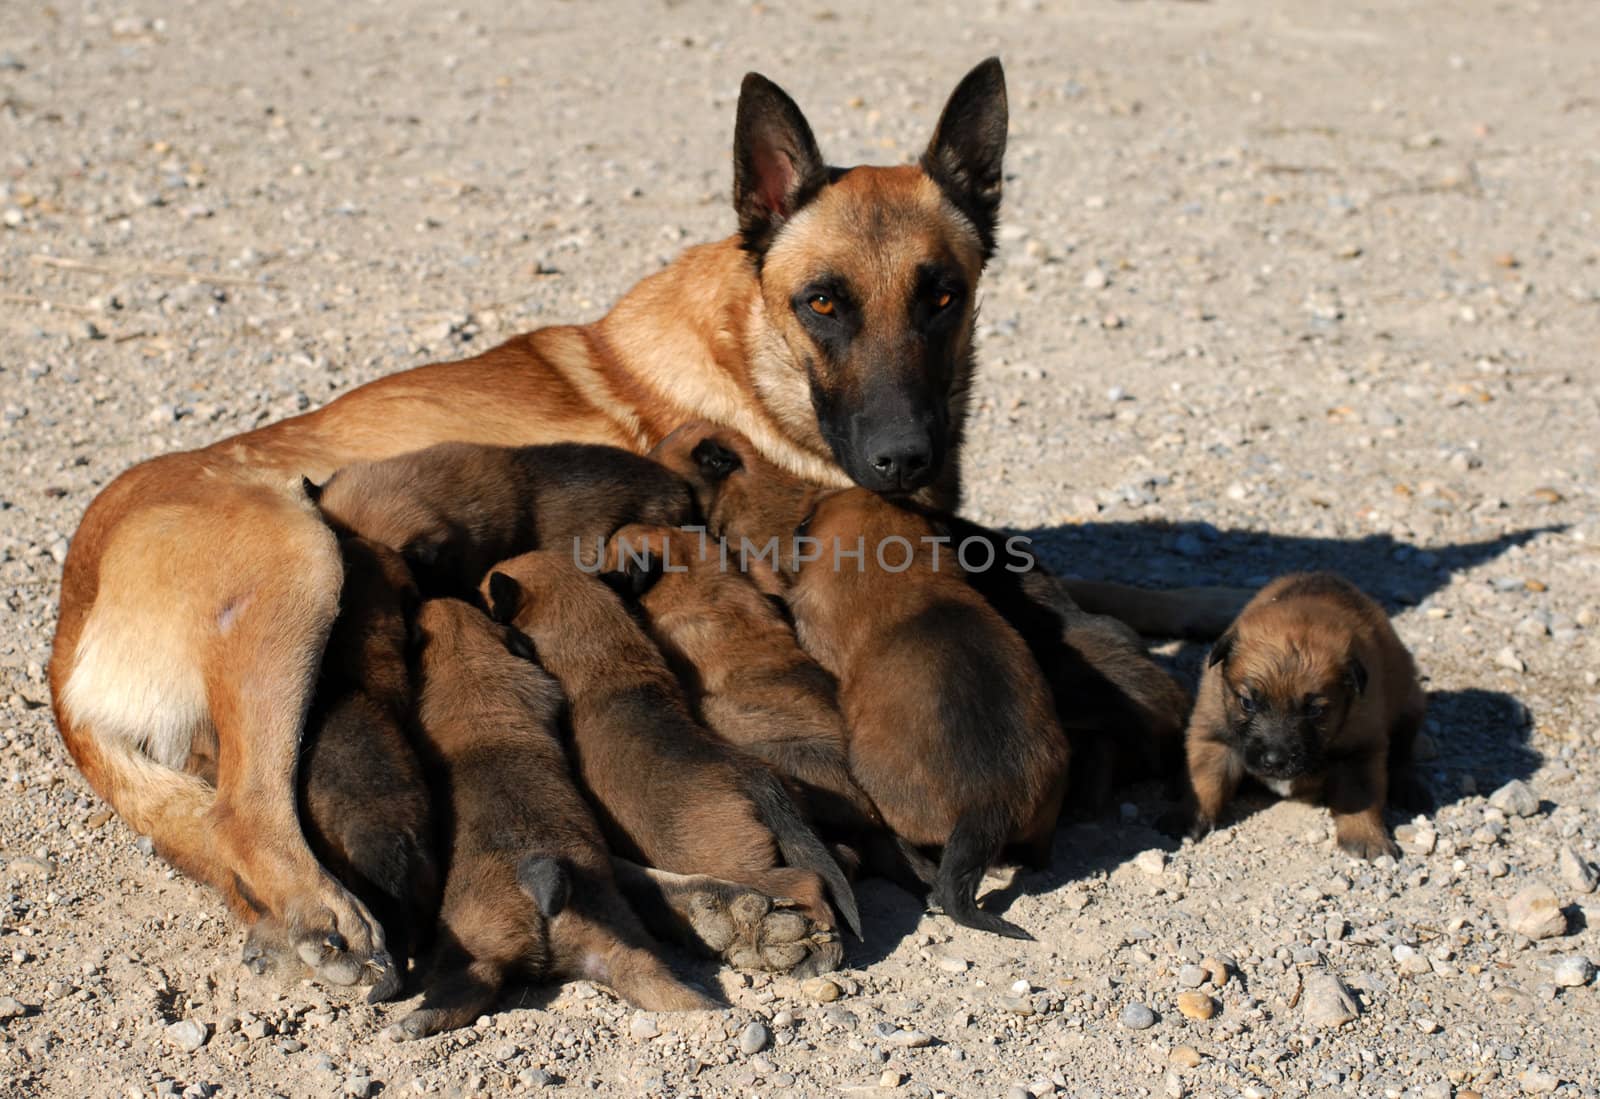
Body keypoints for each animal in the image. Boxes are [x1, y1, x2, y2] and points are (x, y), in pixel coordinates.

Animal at [390, 598, 710, 1036]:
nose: (428, 600)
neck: (466, 656)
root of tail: (543, 873)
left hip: (474, 944)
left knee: (467, 982)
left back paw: (413, 1022)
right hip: (618, 937)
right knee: (642, 970)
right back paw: (705, 1006)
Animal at [1164, 572, 1427, 863]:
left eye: (1315, 710)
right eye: (1247, 703)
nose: (1273, 761)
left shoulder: (1360, 748)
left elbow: (1360, 797)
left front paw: (1367, 837)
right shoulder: (1213, 735)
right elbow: (1205, 781)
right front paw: (1187, 817)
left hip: (1409, 705)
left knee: (1403, 751)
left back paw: (1409, 788)